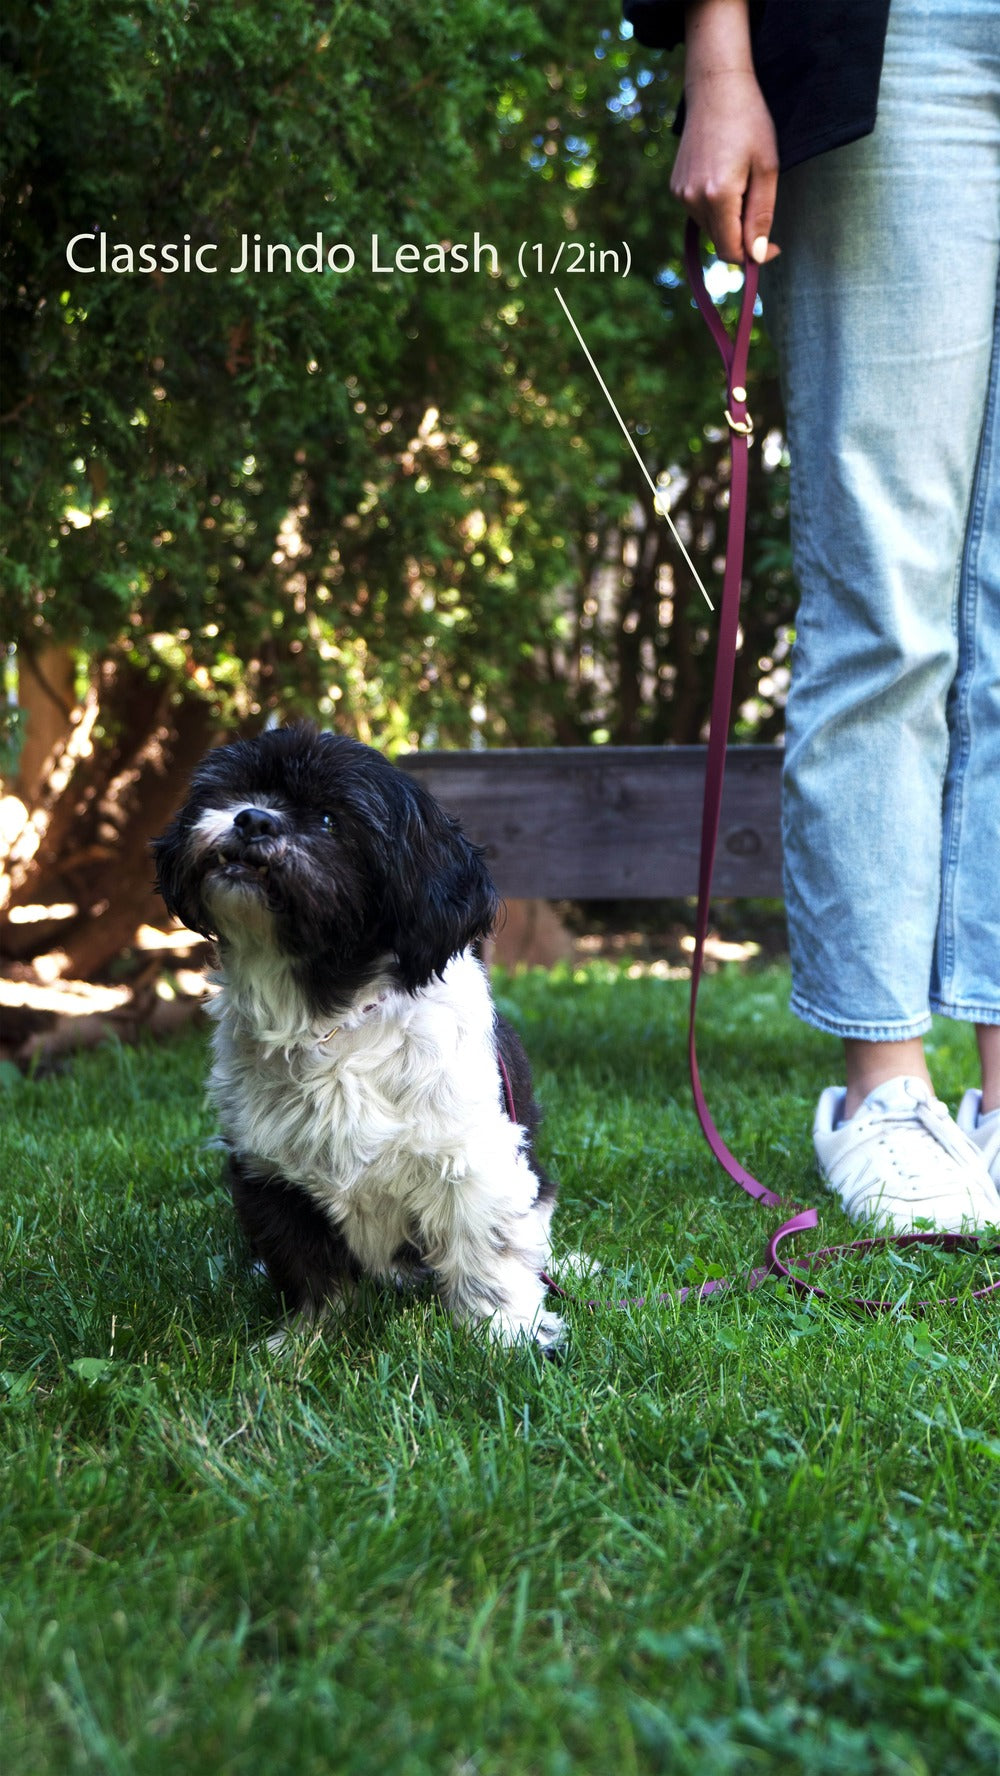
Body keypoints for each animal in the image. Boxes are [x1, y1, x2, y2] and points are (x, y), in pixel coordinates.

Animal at [153, 728, 568, 1349]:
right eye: (237, 791)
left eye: (329, 820)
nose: (253, 819)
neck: (329, 1023)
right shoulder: (270, 1174)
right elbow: (311, 1267)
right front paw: (304, 1342)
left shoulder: (474, 1161)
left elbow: (489, 1254)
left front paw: (504, 1336)